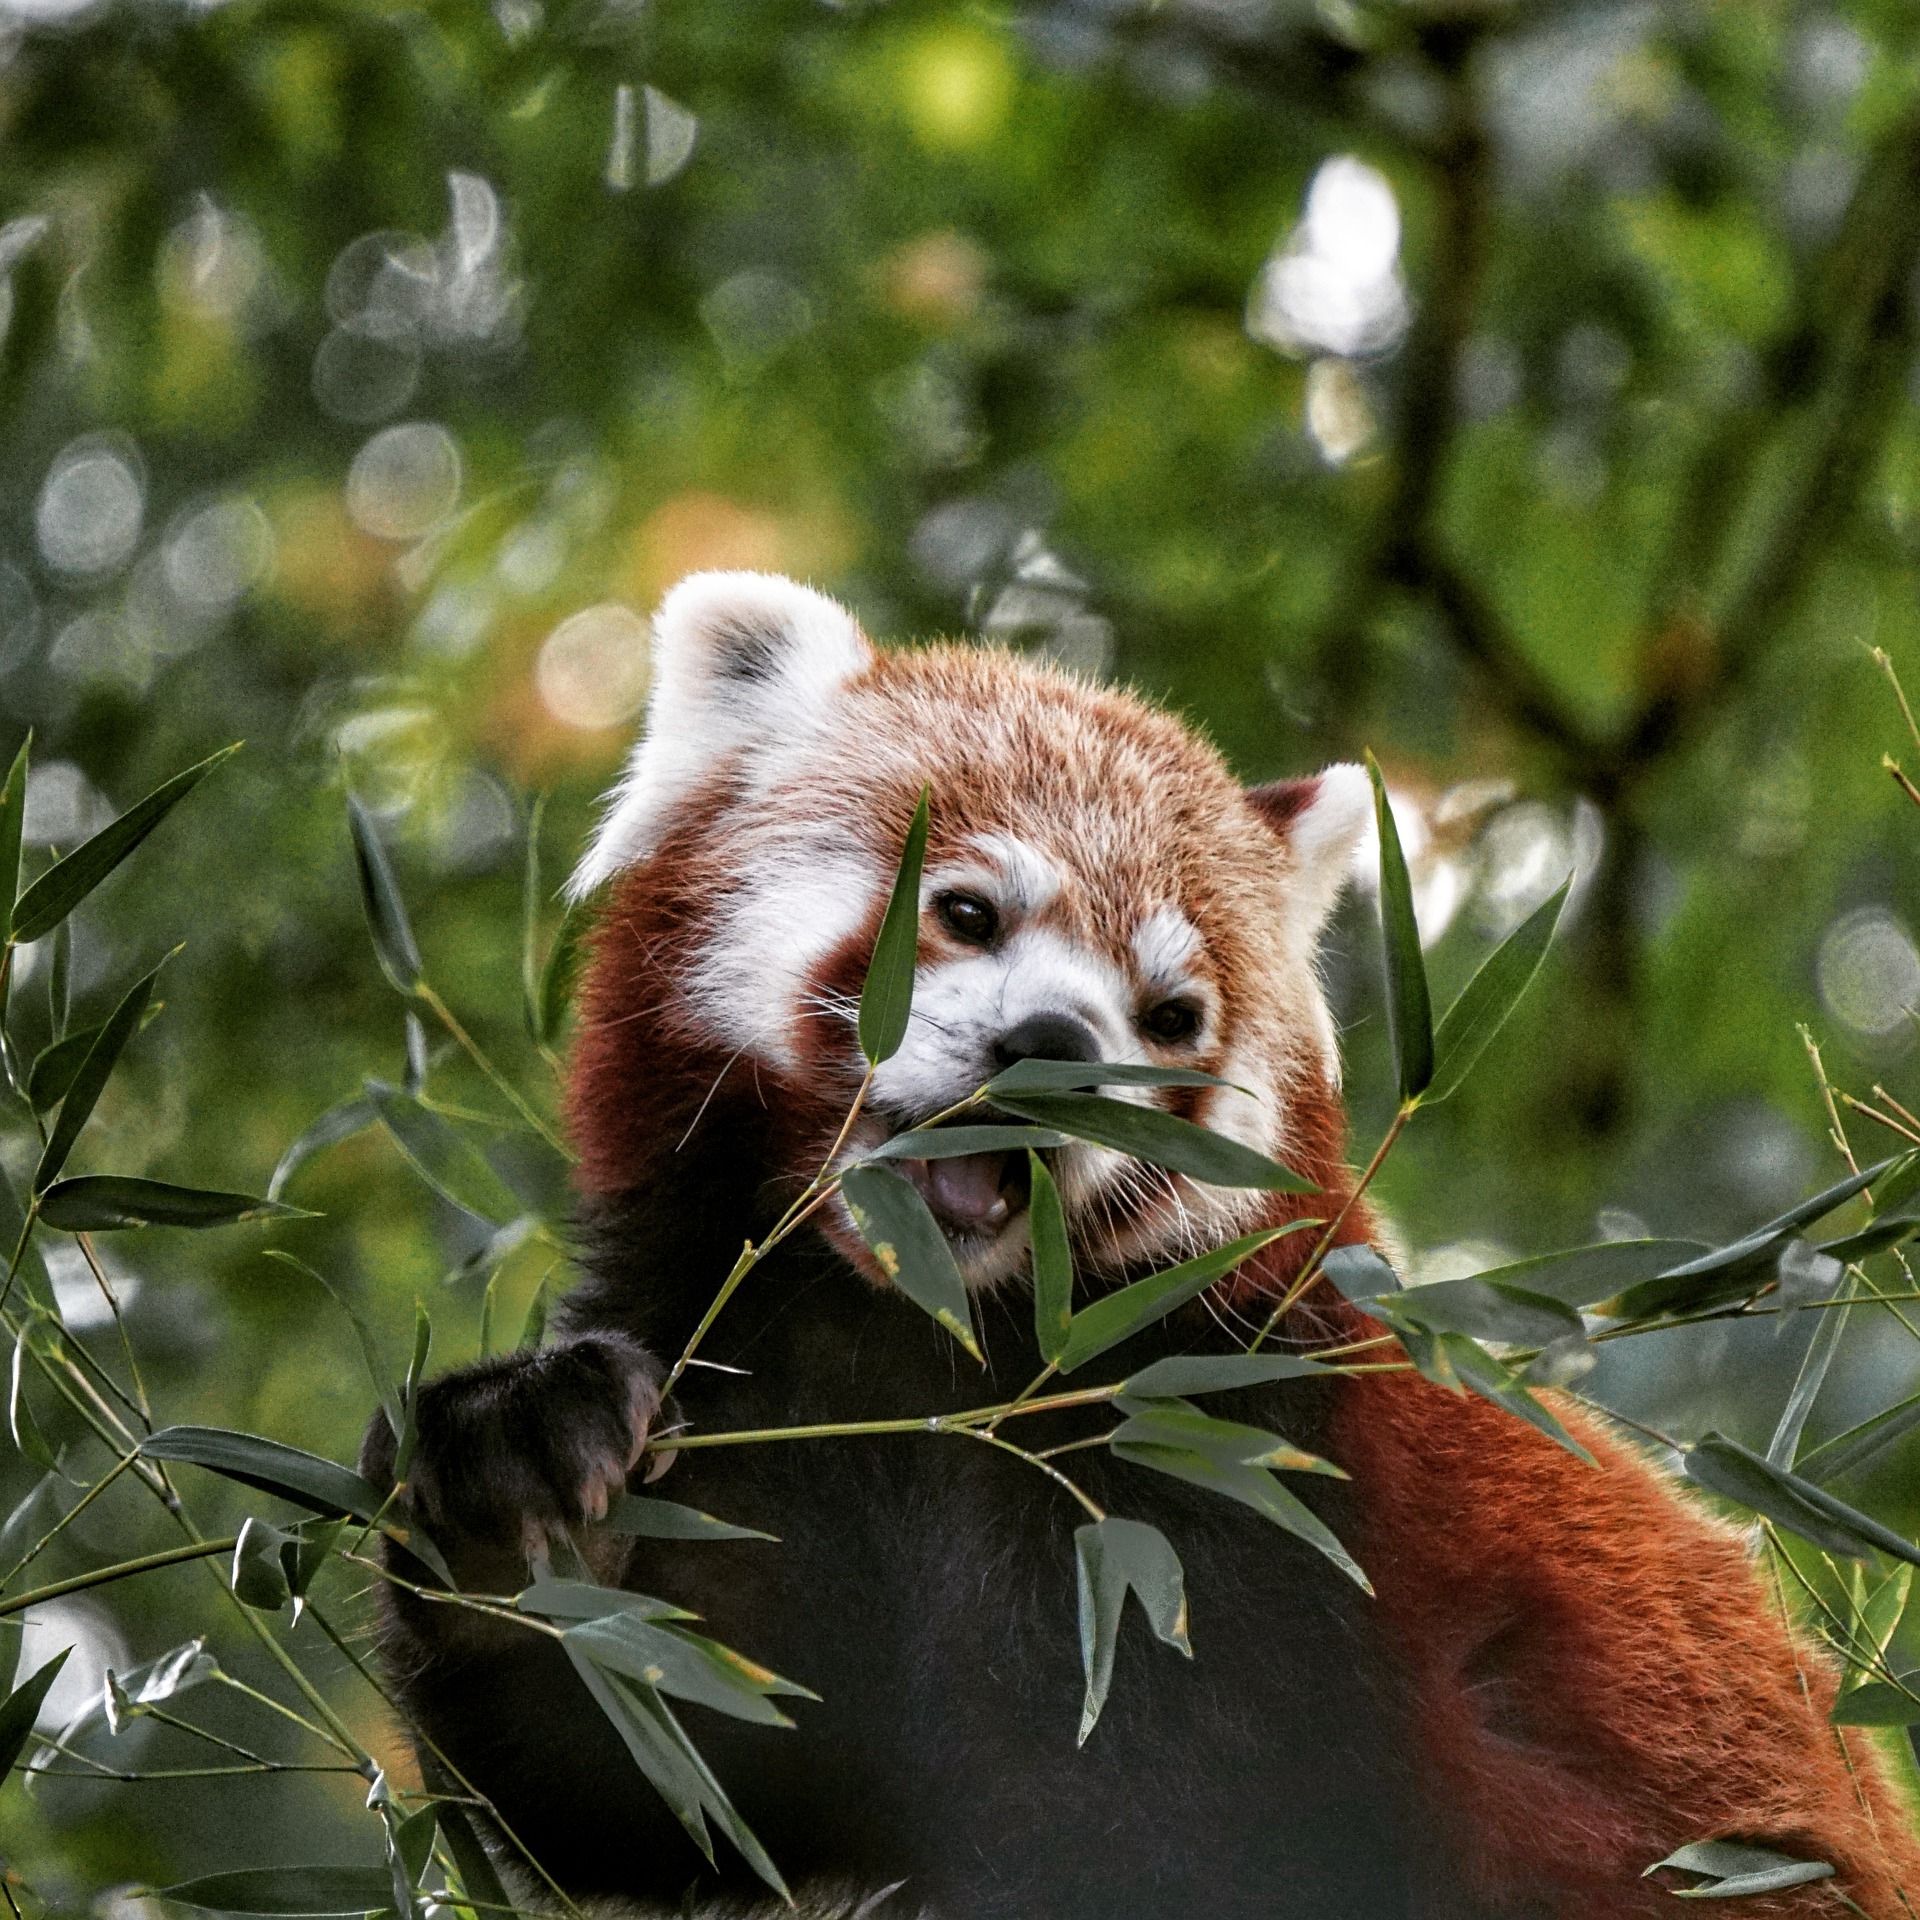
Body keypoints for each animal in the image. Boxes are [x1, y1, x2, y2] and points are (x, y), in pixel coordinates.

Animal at [362, 572, 1920, 1920]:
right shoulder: (764, 1404)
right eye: (964, 910)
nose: (1055, 1042)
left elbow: (1173, 1833)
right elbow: (669, 1764)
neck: (937, 1345)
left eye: (1171, 1017)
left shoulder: (1233, 1499)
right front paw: (517, 1478)